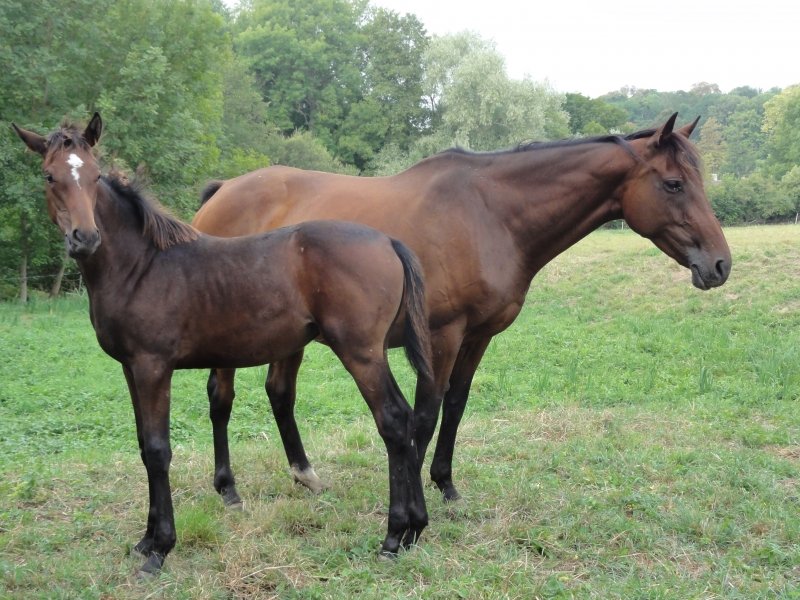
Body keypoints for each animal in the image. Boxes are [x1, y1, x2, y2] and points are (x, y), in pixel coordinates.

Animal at [12, 113, 434, 575]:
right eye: (50, 176)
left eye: (94, 175)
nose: (84, 237)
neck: (141, 266)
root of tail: (388, 242)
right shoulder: (130, 368)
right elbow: (142, 444)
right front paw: (145, 540)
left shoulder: (152, 367)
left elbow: (157, 450)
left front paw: (160, 548)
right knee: (405, 418)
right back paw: (415, 529)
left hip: (360, 353)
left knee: (392, 421)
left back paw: (394, 535)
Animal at [192, 113, 732, 504]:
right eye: (674, 184)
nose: (720, 264)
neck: (490, 214)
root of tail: (223, 191)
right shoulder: (442, 335)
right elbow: (424, 414)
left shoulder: (478, 336)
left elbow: (455, 405)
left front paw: (445, 483)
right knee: (222, 397)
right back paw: (228, 489)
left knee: (280, 393)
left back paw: (305, 475)